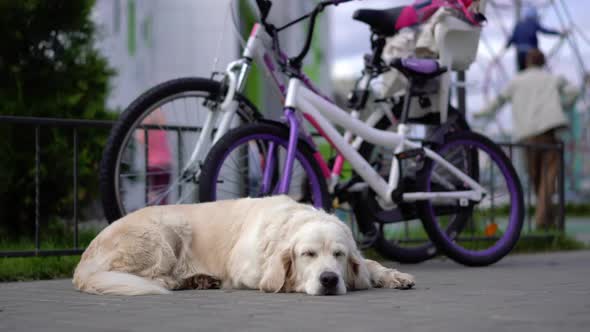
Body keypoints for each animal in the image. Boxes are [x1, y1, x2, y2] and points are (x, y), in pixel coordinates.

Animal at [73, 195, 416, 296]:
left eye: (339, 255)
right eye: (308, 254)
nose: (330, 280)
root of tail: (83, 262)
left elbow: (369, 264)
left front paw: (394, 276)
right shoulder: (248, 272)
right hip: (166, 233)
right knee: (158, 278)